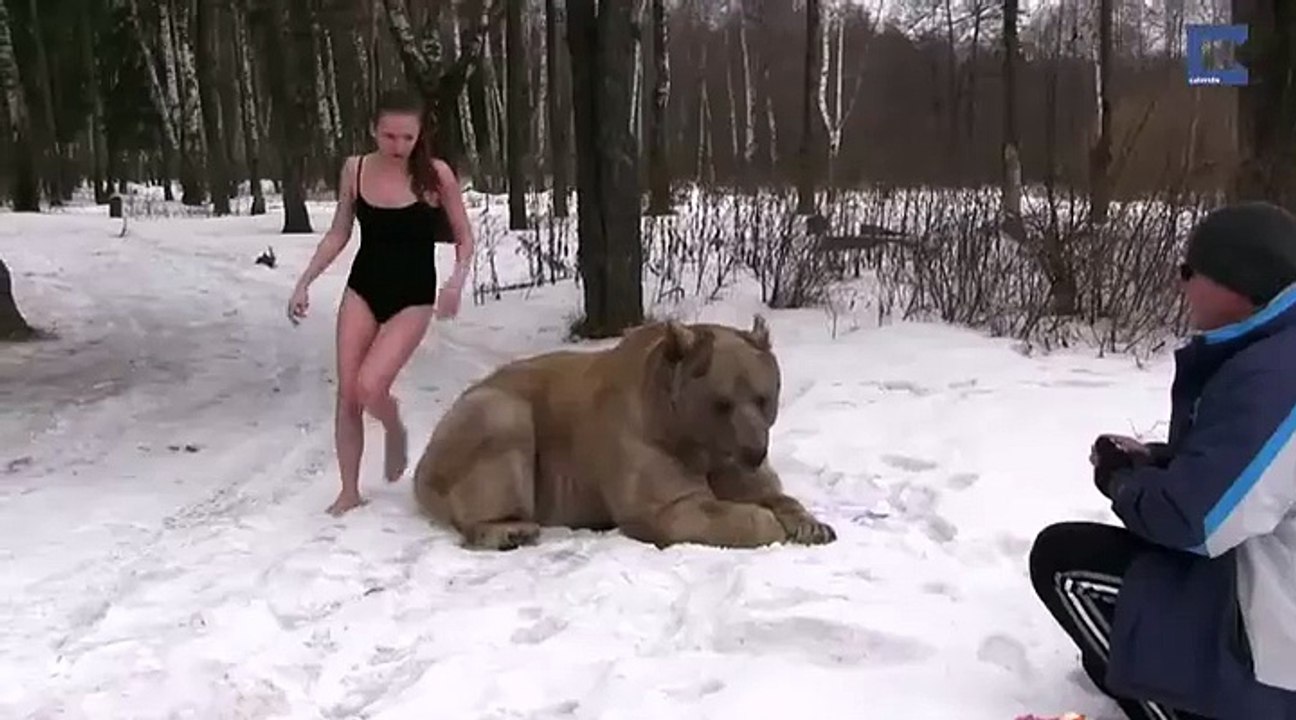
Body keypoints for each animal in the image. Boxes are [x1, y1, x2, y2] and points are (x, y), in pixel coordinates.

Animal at [411, 314, 836, 550]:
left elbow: (769, 490)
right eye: (722, 402)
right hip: (485, 418)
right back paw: (509, 530)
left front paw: (813, 524)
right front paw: (767, 523)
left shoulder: (725, 458)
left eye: (763, 397)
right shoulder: (643, 441)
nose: (754, 450)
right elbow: (677, 508)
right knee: (500, 436)